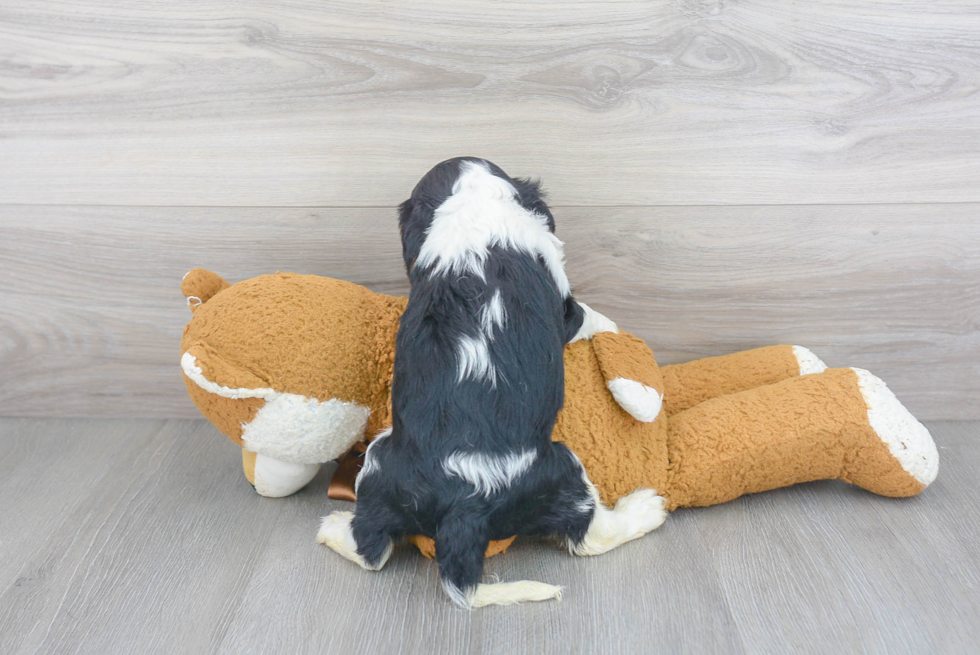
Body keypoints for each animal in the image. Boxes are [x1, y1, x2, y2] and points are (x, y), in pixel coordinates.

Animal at [320, 159, 668, 608]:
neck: (474, 204)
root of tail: (463, 506)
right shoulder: (565, 305)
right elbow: (590, 315)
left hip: (382, 467)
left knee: (372, 547)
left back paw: (330, 528)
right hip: (560, 471)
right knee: (588, 534)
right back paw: (645, 508)